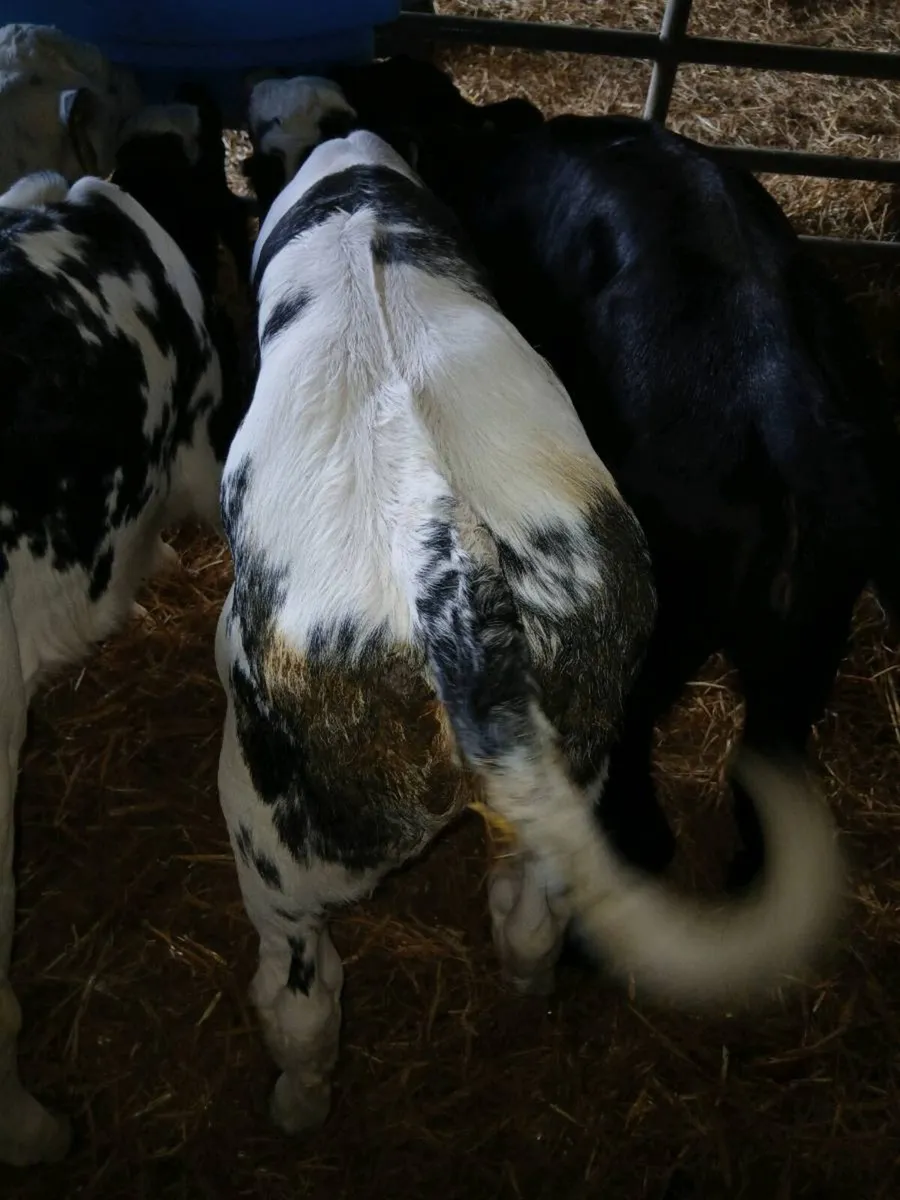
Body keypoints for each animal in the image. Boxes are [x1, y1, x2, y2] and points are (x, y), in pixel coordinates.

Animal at [216, 124, 844, 1138]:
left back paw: (297, 1105)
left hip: (279, 840)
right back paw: (526, 996)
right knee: (533, 914)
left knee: (303, 995)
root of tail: (447, 568)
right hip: (600, 764)